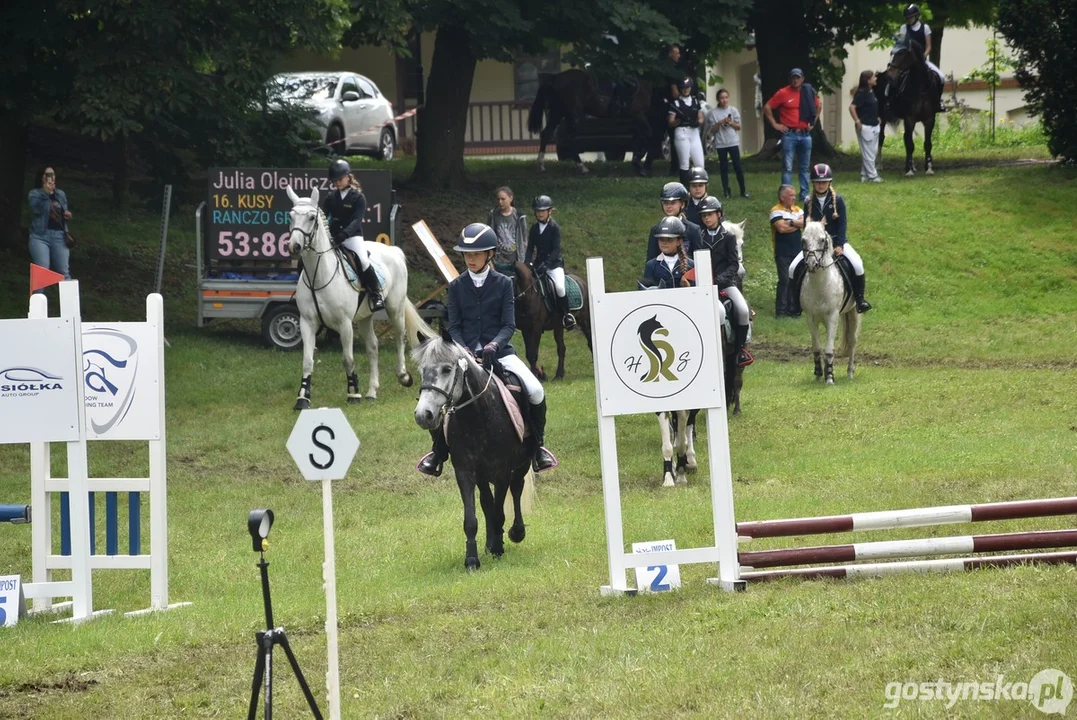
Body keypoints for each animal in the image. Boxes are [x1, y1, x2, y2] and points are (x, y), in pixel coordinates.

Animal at [288, 185, 435, 408]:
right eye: (291, 216)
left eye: (312, 217)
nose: (294, 246)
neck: (318, 274)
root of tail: (393, 250)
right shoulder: (307, 322)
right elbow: (307, 361)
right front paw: (303, 398)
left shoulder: (344, 323)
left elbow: (348, 359)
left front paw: (353, 393)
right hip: (365, 316)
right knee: (373, 346)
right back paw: (372, 391)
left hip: (394, 308)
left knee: (400, 337)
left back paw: (402, 376)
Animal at [411, 340, 529, 568]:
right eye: (422, 370)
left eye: (447, 369)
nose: (423, 415)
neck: (477, 417)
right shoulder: (465, 472)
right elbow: (472, 518)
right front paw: (472, 559)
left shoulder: (502, 472)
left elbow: (500, 511)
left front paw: (499, 547)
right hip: (482, 475)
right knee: (487, 503)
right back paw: (490, 543)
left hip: (522, 465)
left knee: (517, 488)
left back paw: (516, 533)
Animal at [805, 221, 861, 385]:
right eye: (803, 240)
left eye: (822, 240)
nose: (812, 264)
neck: (820, 284)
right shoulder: (810, 318)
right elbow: (817, 348)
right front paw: (819, 374)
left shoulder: (832, 317)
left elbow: (829, 349)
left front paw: (829, 377)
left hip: (853, 312)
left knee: (852, 340)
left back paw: (850, 372)